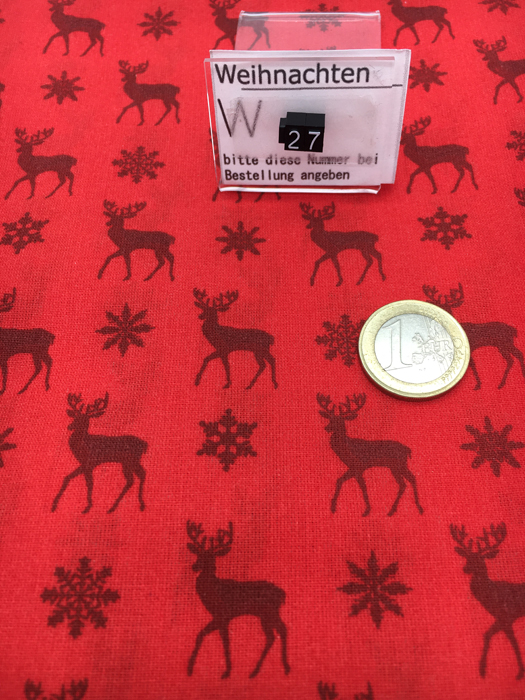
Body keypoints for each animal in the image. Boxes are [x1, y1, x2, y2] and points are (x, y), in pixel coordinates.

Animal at [186, 521, 290, 678]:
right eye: (199, 554)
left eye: (212, 557)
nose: (194, 566)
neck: (212, 590)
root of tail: (282, 593)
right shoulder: (219, 617)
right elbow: (201, 635)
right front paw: (190, 668)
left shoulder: (222, 615)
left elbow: (225, 641)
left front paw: (227, 671)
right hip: (268, 614)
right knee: (278, 632)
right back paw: (275, 668)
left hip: (267, 612)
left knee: (275, 633)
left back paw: (261, 670)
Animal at [450, 523, 525, 680]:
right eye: (467, 557)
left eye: (480, 559)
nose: (465, 569)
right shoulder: (502, 619)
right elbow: (490, 635)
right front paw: (483, 669)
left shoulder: (506, 616)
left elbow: (512, 641)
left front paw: (520, 672)